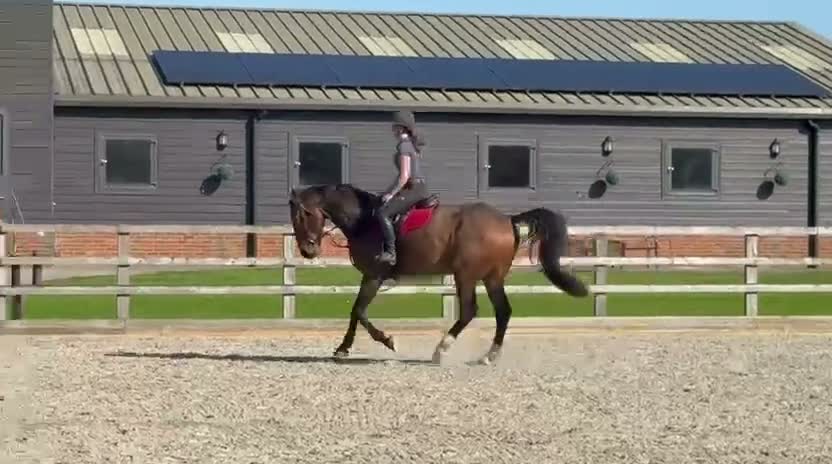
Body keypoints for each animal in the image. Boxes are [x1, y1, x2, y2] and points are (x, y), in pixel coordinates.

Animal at [287, 183, 589, 365]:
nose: (307, 250)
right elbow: (355, 312)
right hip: (492, 277)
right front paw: (343, 348)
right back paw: (488, 356)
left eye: (304, 215)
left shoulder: (375, 275)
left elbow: (360, 311)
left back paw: (441, 349)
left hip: (466, 275)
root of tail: (507, 219)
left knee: (469, 310)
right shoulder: (369, 277)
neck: (365, 220)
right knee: (503, 311)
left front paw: (387, 341)